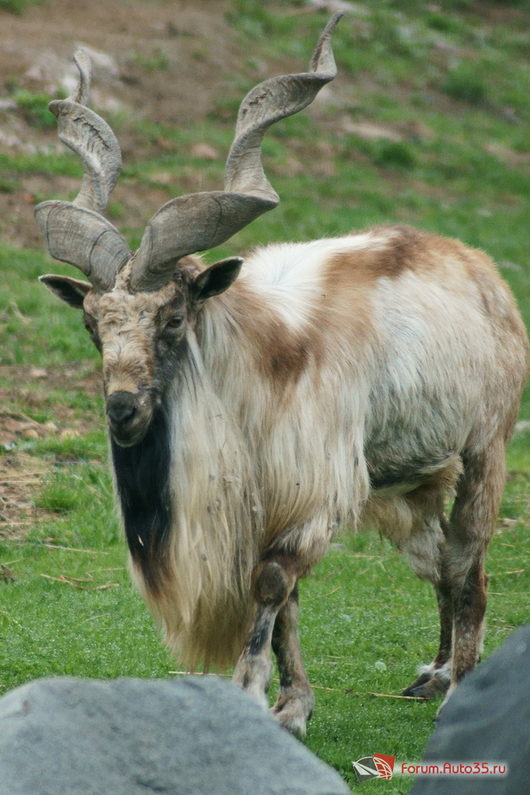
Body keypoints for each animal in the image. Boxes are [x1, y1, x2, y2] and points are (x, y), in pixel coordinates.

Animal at [36, 17, 524, 740]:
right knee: (437, 558)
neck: (256, 371)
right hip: (411, 477)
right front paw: (294, 704)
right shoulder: (274, 499)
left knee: (468, 564)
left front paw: (252, 693)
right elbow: (290, 596)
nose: (122, 409)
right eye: (93, 323)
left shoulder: (312, 492)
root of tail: (479, 267)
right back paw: (432, 673)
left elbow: (272, 582)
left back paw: (460, 684)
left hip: (484, 447)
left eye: (174, 317)